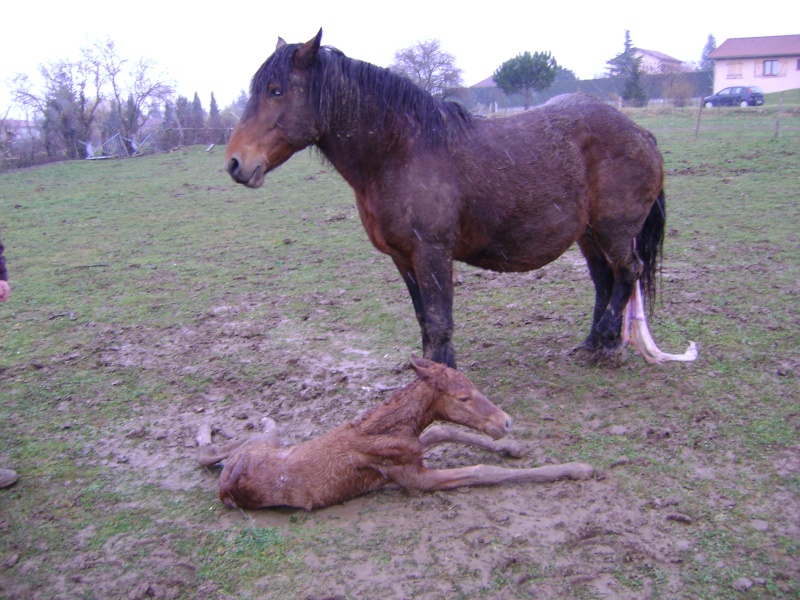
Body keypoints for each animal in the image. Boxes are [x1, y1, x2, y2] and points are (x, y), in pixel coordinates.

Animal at [196, 358, 592, 508]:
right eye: (463, 397)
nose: (505, 421)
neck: (392, 427)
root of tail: (227, 485)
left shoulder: (412, 448)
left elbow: (443, 431)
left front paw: (512, 447)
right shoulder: (413, 479)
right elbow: (483, 472)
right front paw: (576, 469)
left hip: (259, 448)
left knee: (217, 453)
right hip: (261, 449)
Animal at [223, 30, 692, 368]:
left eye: (277, 90)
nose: (235, 163)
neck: (401, 150)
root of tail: (641, 133)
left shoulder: (432, 252)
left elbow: (439, 318)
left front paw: (442, 377)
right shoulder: (403, 257)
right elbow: (424, 317)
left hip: (614, 231)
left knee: (628, 272)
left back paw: (608, 341)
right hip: (589, 234)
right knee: (604, 279)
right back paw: (595, 344)